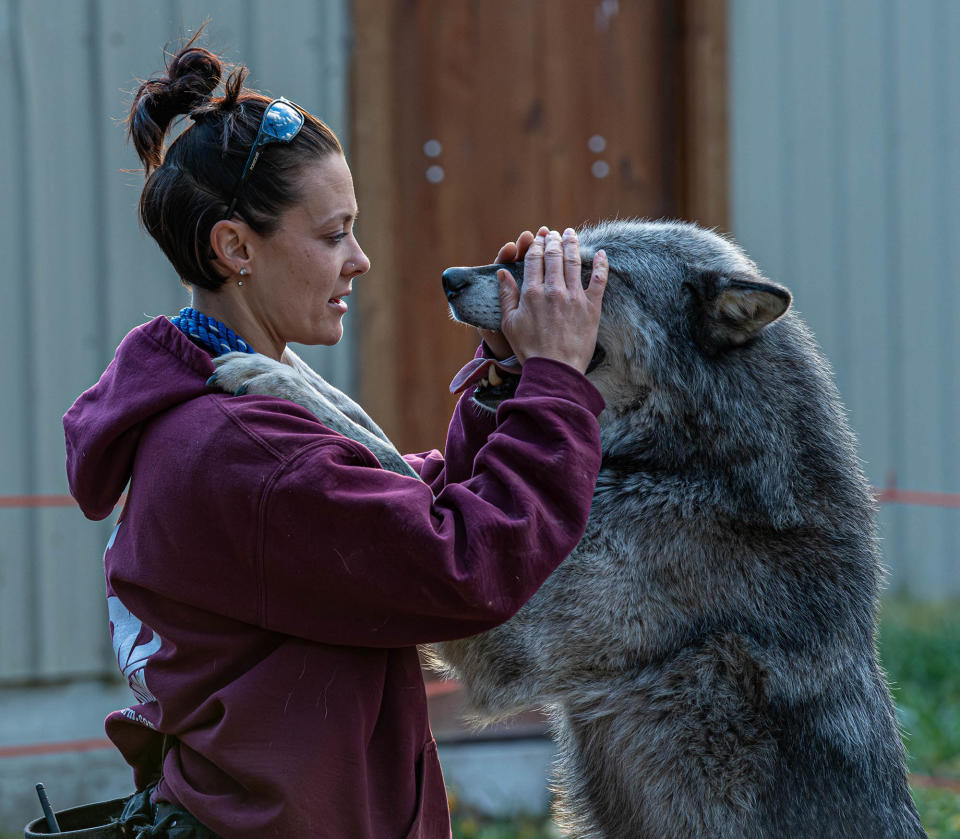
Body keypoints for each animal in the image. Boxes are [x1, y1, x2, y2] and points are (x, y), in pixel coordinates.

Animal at [212, 221, 928, 839]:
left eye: (584, 272)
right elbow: (372, 428)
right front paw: (289, 365)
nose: (449, 278)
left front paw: (268, 374)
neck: (692, 459)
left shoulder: (500, 631)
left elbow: (385, 455)